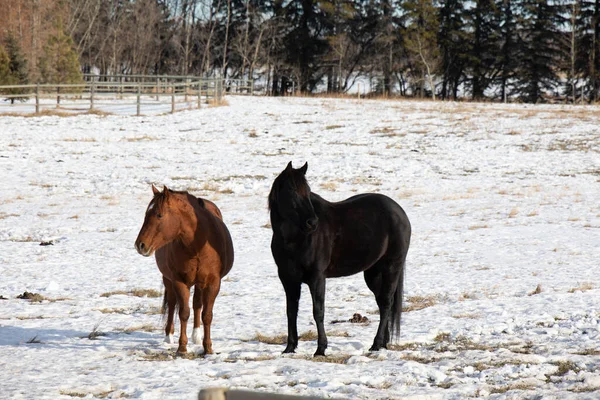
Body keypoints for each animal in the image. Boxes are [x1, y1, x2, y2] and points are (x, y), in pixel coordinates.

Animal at [135, 184, 233, 354]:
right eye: (146, 214)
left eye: (159, 215)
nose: (140, 245)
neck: (197, 246)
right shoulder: (179, 281)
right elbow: (183, 313)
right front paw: (182, 347)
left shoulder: (213, 282)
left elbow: (207, 314)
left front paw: (208, 348)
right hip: (168, 279)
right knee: (172, 303)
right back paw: (168, 336)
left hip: (200, 283)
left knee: (197, 304)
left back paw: (196, 336)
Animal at [268, 161, 412, 354]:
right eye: (291, 190)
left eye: (308, 190)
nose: (312, 222)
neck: (295, 239)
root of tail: (399, 212)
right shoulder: (288, 278)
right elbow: (291, 311)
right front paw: (290, 347)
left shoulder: (317, 278)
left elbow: (318, 311)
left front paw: (320, 349)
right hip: (373, 273)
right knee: (382, 304)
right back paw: (382, 343)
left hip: (392, 267)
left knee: (387, 302)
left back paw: (375, 344)